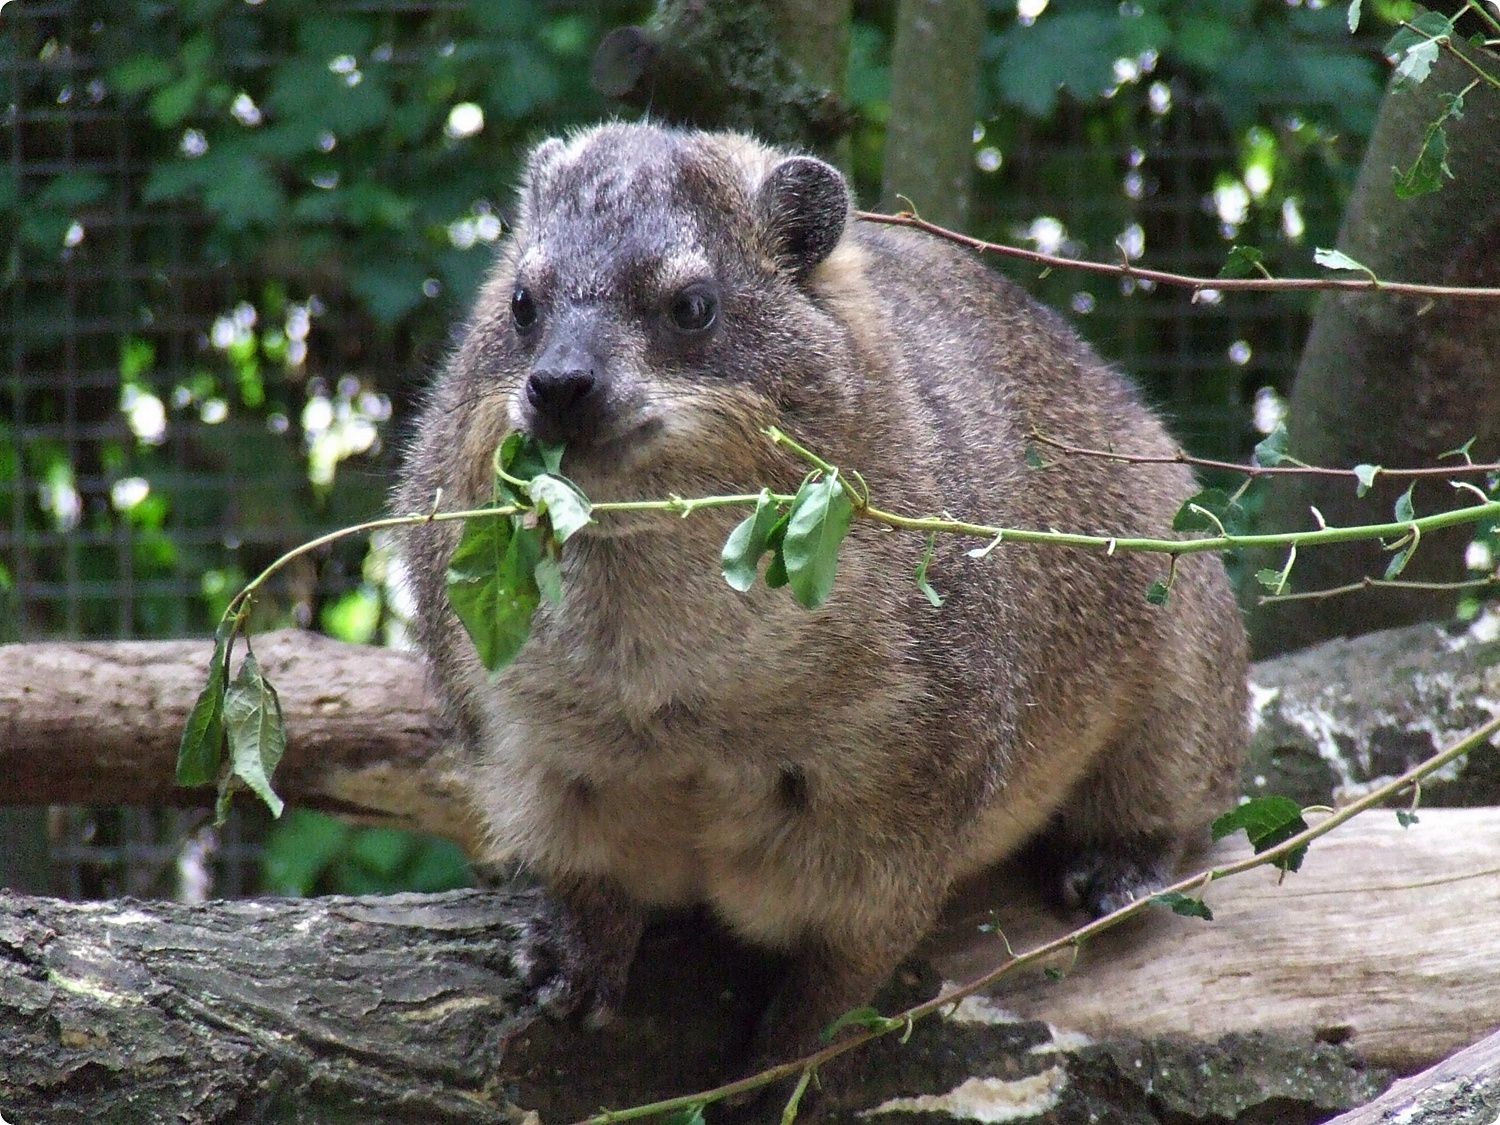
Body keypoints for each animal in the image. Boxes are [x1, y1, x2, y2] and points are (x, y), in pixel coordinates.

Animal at [395, 122, 1248, 1076]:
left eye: (693, 306)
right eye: (522, 304)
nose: (559, 383)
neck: (665, 688)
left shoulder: (906, 813)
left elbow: (847, 967)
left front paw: (779, 1064)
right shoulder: (532, 756)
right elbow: (587, 877)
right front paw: (569, 968)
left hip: (1186, 667)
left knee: (1184, 797)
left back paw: (1114, 872)